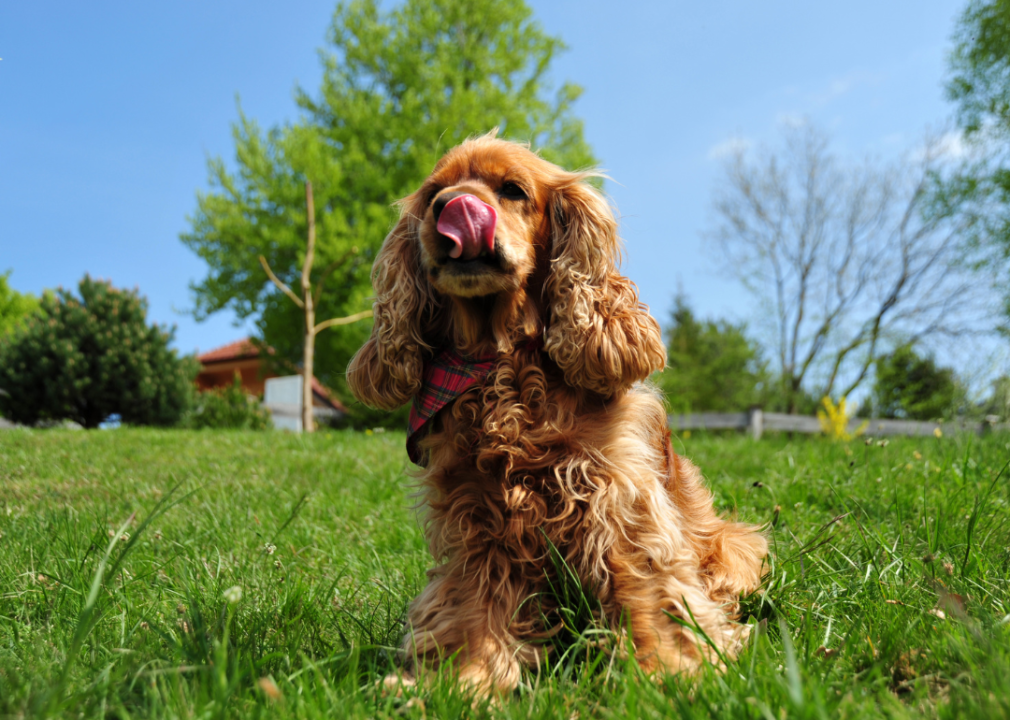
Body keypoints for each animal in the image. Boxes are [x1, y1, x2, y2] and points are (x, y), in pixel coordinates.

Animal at [347, 133, 763, 690]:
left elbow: (648, 583)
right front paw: (460, 680)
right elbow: (471, 603)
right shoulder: (474, 512)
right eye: (433, 192)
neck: (503, 362)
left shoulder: (617, 491)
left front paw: (666, 671)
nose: (450, 208)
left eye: (512, 190)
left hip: (733, 545)